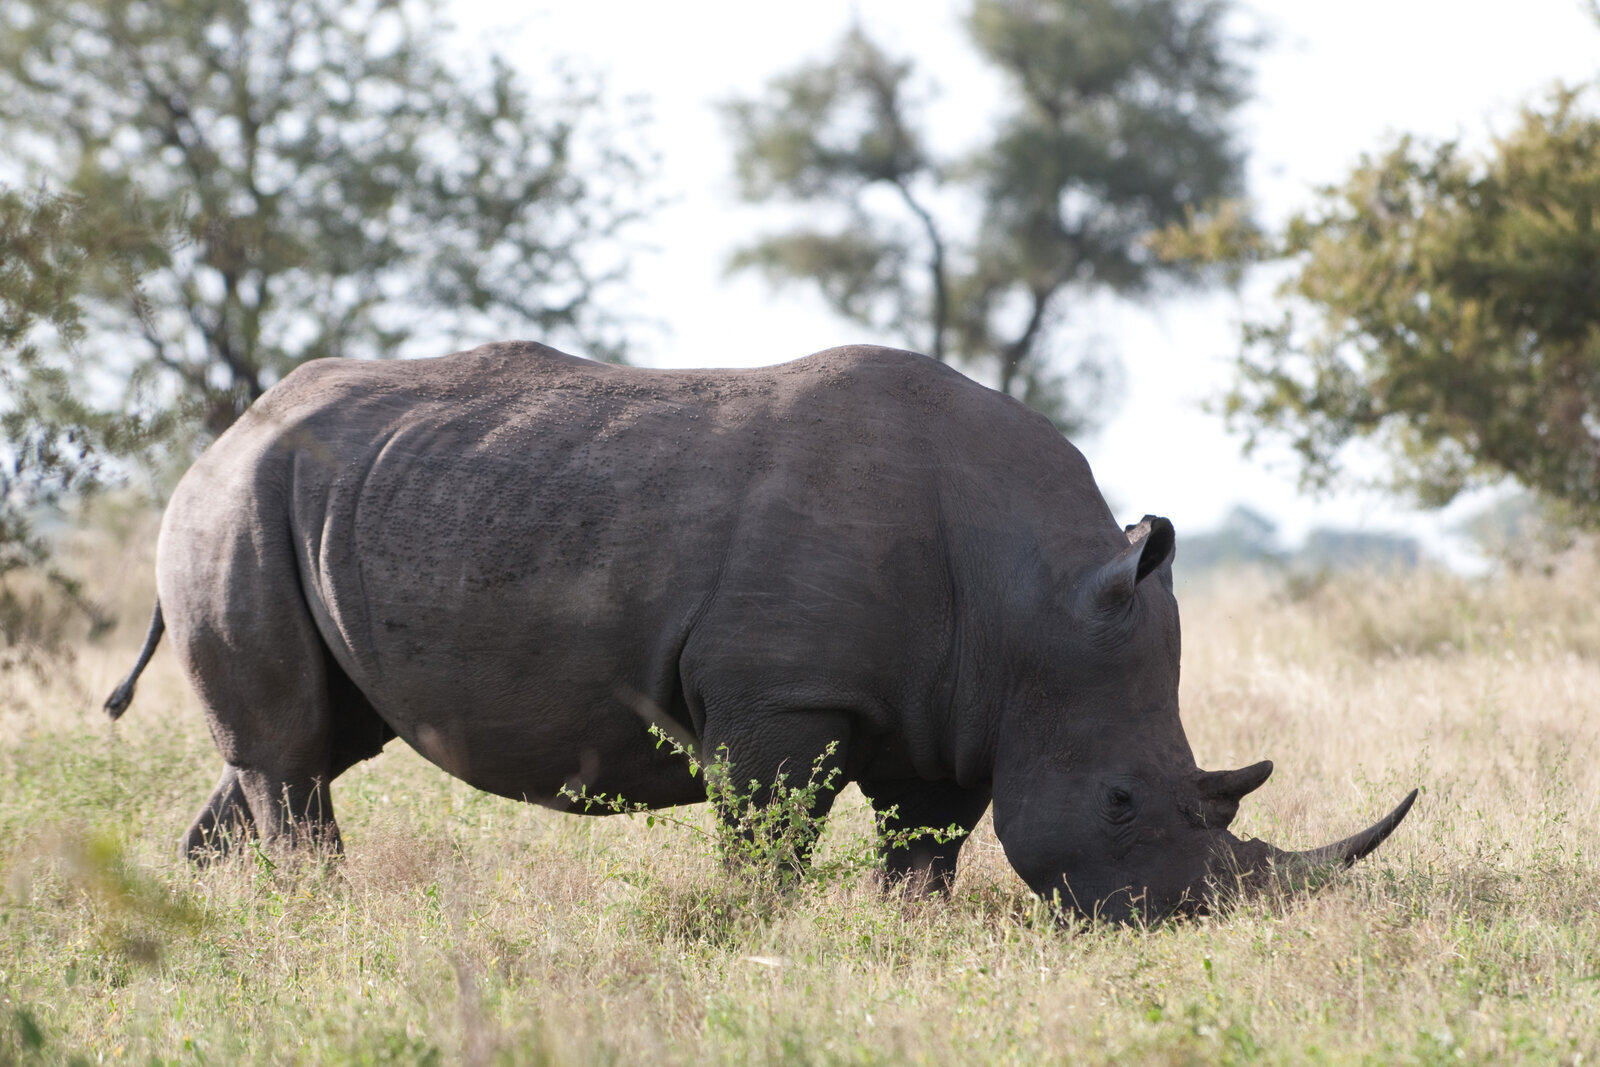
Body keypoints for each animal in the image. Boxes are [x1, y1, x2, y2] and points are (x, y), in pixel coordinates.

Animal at [104, 342, 1414, 920]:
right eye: (1126, 804)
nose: (1197, 918)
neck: (1030, 601)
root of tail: (215, 440)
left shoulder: (955, 708)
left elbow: (926, 841)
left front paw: (900, 928)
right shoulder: (783, 696)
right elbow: (768, 836)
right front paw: (753, 930)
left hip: (323, 503)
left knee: (303, 744)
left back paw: (235, 912)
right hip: (236, 508)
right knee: (290, 755)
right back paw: (318, 912)